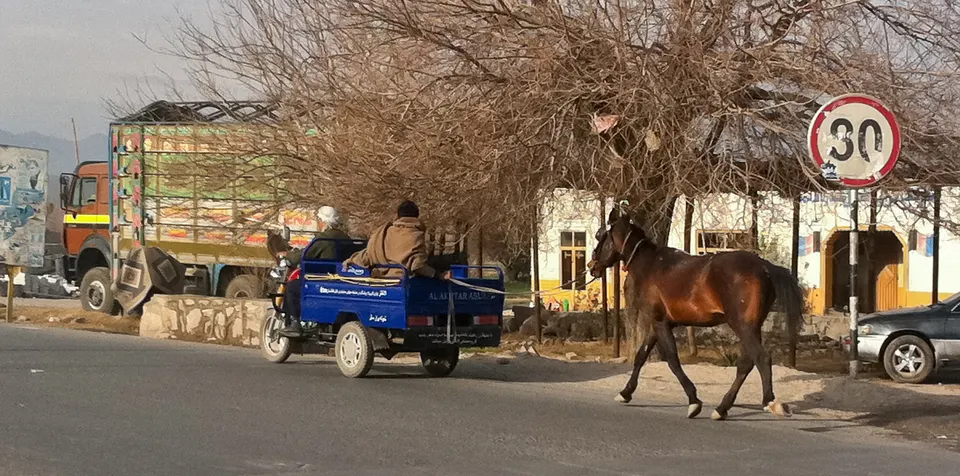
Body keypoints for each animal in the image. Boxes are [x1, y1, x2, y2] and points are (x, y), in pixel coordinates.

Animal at [588, 208, 803, 421]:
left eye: (601, 236)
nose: (592, 266)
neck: (650, 266)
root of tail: (765, 267)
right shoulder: (658, 324)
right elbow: (641, 355)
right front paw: (625, 393)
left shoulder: (659, 323)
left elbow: (672, 360)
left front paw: (693, 401)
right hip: (752, 327)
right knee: (746, 364)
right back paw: (722, 408)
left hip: (743, 326)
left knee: (761, 358)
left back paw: (770, 402)